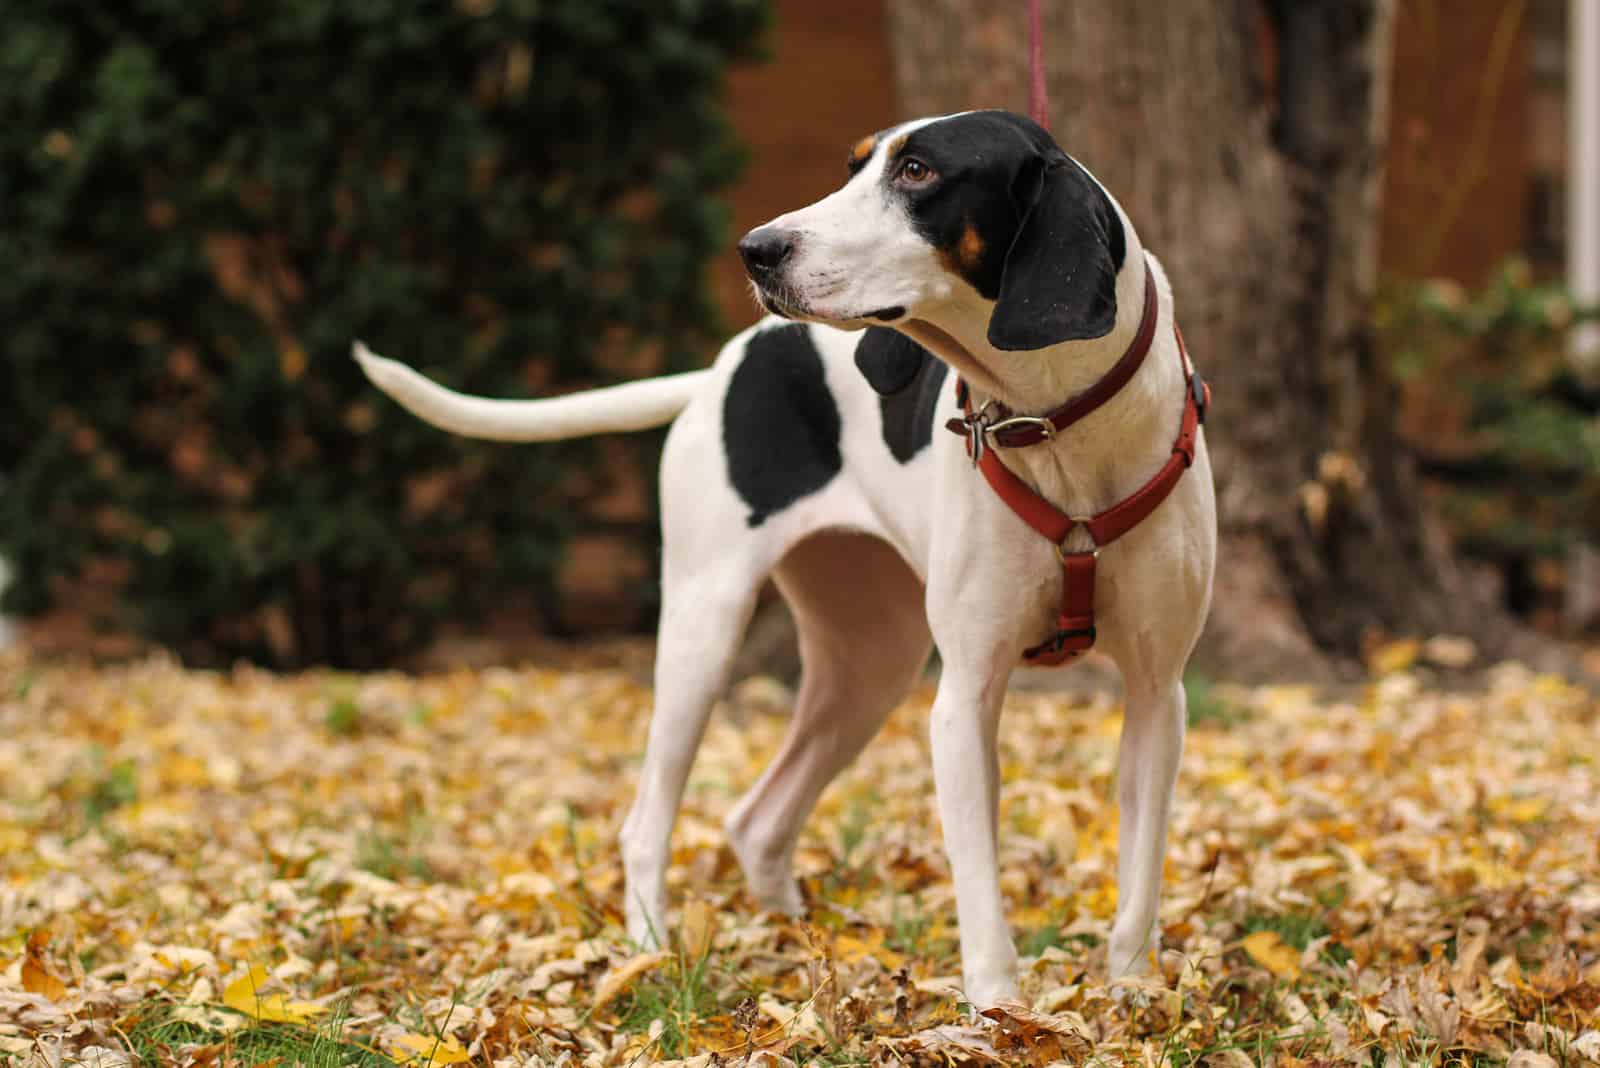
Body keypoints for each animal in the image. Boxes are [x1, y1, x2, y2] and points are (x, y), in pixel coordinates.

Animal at [356, 110, 1216, 1010]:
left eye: (917, 170)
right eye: (854, 165)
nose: (756, 249)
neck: (1054, 422)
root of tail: (721, 369)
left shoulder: (1158, 696)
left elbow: (1140, 877)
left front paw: (1135, 998)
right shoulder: (965, 699)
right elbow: (981, 897)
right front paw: (1001, 1015)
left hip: (869, 665)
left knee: (758, 820)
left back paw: (792, 941)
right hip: (704, 634)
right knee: (647, 822)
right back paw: (649, 952)